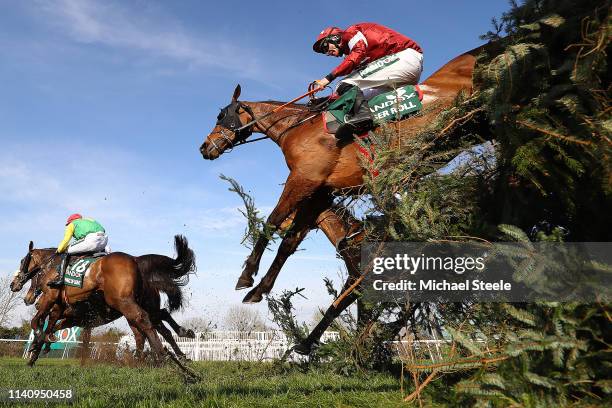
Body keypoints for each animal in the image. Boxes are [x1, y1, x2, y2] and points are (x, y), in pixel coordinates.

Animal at [10, 234, 196, 368]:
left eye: (22, 261)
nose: (14, 285)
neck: (52, 266)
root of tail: (136, 260)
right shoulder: (71, 316)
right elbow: (51, 328)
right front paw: (38, 349)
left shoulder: (54, 303)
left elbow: (39, 323)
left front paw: (36, 348)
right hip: (139, 306)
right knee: (155, 324)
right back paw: (176, 344)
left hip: (125, 303)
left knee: (146, 323)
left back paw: (162, 356)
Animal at [201, 43, 488, 350]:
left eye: (221, 115)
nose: (204, 147)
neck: (299, 126)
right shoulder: (319, 190)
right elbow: (288, 245)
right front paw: (260, 290)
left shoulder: (304, 179)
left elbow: (271, 222)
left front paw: (246, 276)